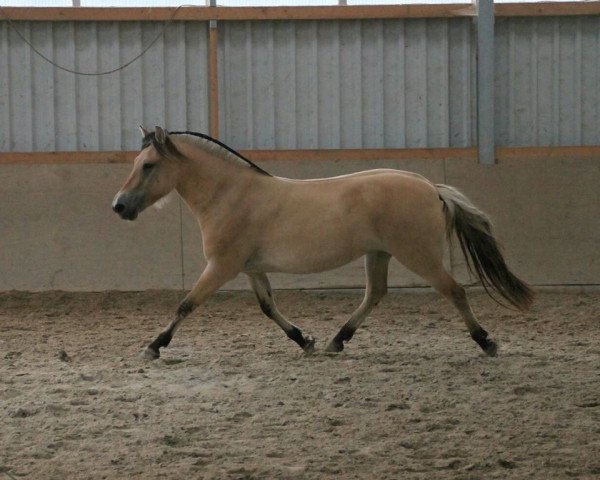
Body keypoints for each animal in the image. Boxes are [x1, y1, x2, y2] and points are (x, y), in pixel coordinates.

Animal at [113, 126, 536, 360]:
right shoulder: (251, 269)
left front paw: (154, 346)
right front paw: (305, 341)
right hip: (378, 254)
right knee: (375, 294)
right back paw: (337, 340)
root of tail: (430, 187)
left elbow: (185, 305)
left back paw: (486, 342)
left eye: (148, 165)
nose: (119, 206)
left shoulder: (220, 268)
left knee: (454, 291)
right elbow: (268, 308)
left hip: (419, 255)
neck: (231, 194)